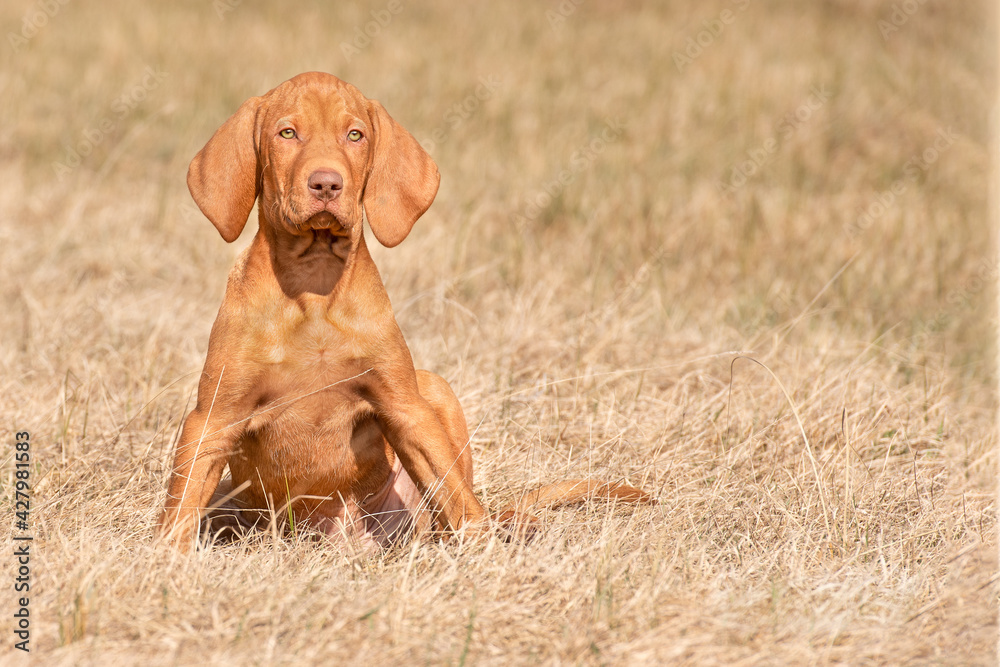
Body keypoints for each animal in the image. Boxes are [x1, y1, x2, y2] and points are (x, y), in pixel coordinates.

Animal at [156, 72, 648, 552]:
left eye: (354, 135)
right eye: (287, 133)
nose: (326, 184)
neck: (314, 283)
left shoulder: (405, 407)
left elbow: (456, 495)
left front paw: (486, 552)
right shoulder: (214, 417)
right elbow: (181, 505)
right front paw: (167, 562)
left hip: (434, 390)